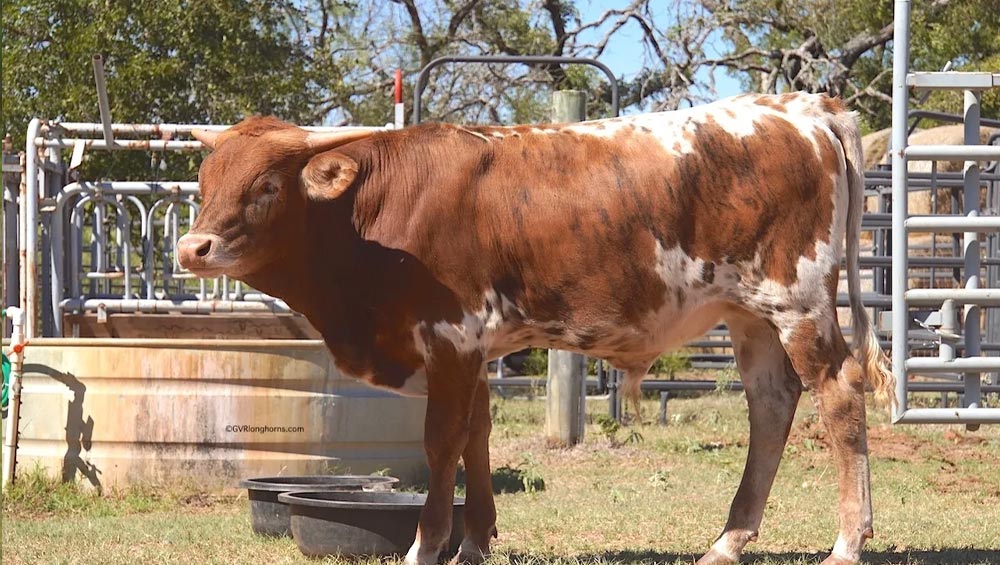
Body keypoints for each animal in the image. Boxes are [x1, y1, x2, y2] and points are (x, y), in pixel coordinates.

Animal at [178, 93, 892, 564]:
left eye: (267, 186)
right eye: (205, 180)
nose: (193, 248)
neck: (373, 220)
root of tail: (800, 105)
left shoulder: (451, 338)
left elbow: (442, 445)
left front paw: (427, 547)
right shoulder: (474, 351)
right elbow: (476, 438)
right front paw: (474, 543)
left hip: (797, 301)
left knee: (839, 392)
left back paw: (846, 542)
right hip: (749, 314)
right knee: (771, 405)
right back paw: (728, 541)